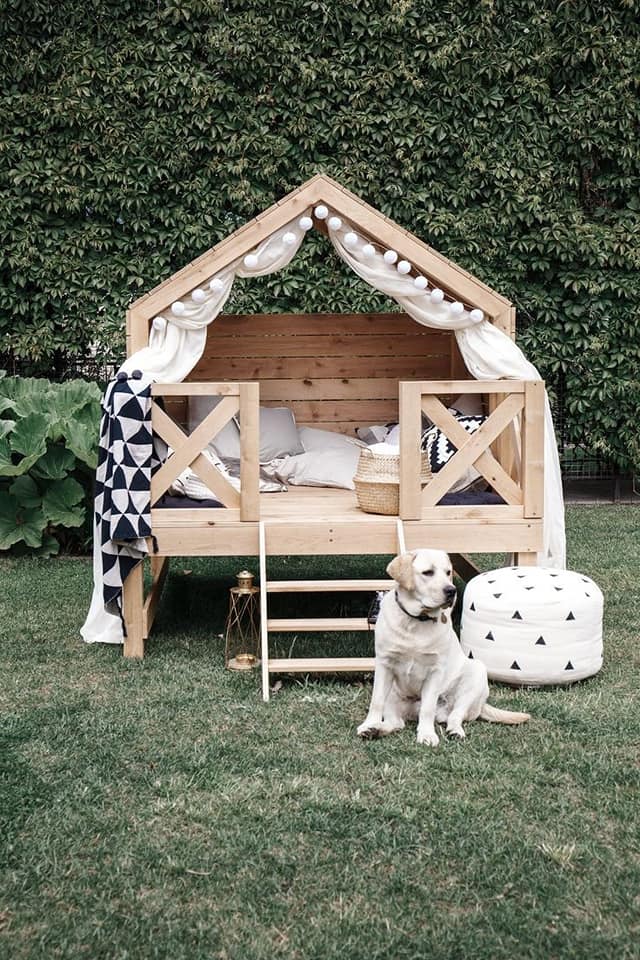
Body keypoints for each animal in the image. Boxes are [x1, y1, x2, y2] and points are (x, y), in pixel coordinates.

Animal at [358, 552, 528, 748]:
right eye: (428, 572)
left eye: (448, 572)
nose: (451, 591)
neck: (416, 620)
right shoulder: (384, 665)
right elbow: (376, 701)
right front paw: (369, 725)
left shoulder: (435, 670)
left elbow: (427, 708)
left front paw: (426, 734)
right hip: (393, 693)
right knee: (397, 723)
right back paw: (377, 730)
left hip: (476, 673)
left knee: (454, 716)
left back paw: (455, 731)